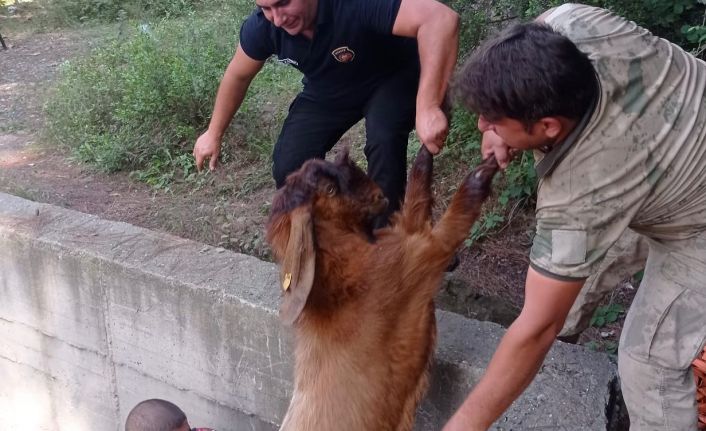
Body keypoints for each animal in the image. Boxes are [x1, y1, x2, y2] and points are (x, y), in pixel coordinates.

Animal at [264, 149, 496, 431]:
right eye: (330, 189)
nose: (378, 194)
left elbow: (414, 202)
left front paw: (425, 153)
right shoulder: (416, 257)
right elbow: (451, 223)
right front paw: (484, 171)